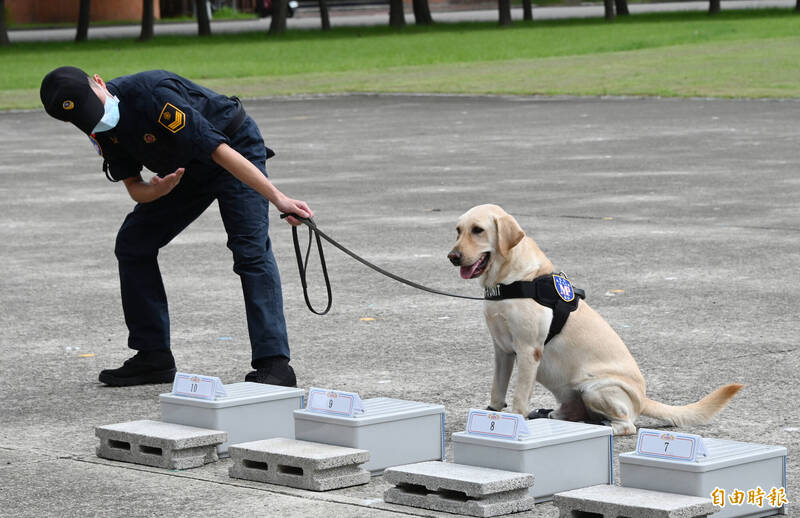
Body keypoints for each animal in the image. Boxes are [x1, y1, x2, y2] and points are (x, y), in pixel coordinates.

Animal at [450, 205, 744, 436]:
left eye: (478, 230)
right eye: (458, 230)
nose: (452, 257)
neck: (510, 280)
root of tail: (643, 399)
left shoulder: (528, 350)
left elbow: (519, 396)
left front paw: (514, 421)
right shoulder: (502, 350)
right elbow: (497, 391)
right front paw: (492, 413)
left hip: (596, 388)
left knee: (627, 425)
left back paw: (603, 426)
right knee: (576, 413)